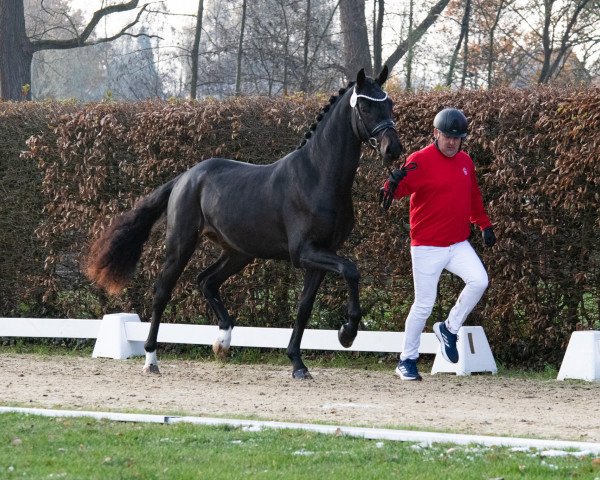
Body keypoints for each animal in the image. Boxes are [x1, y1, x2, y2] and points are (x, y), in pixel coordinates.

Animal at [85, 66, 404, 378]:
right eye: (365, 106)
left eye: (389, 104)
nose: (393, 149)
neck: (317, 176)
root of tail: (186, 177)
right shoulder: (304, 253)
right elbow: (351, 271)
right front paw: (347, 333)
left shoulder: (322, 255)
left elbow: (304, 307)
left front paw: (298, 363)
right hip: (182, 244)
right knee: (162, 292)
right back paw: (151, 359)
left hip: (238, 253)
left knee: (207, 281)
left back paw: (223, 342)